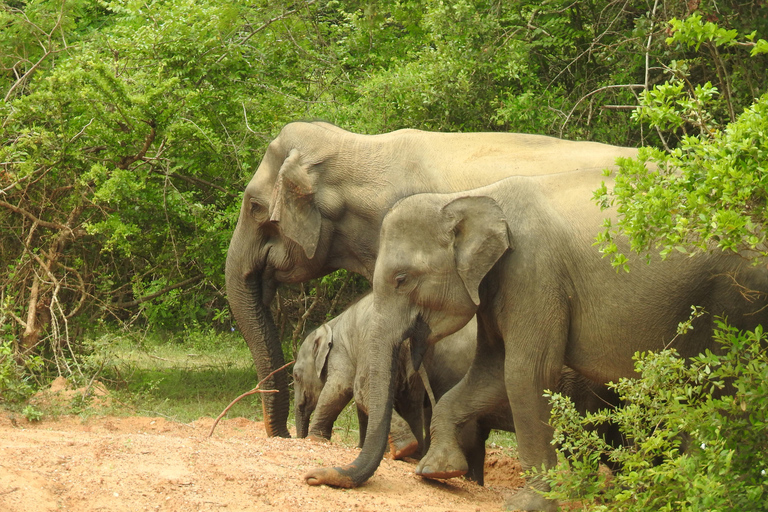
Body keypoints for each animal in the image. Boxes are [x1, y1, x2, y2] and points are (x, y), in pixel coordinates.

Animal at [302, 169, 768, 511]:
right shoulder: (495, 286)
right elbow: (491, 371)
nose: (313, 475)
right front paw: (438, 472)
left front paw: (528, 503)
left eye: (401, 279)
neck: (471, 196)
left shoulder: (533, 273)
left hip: (736, 305)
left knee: (722, 397)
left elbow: (525, 372)